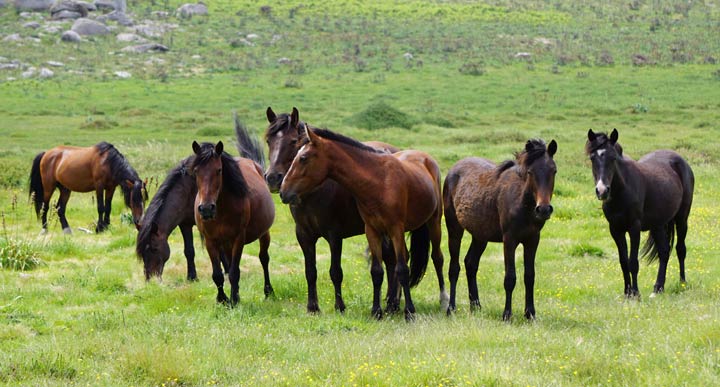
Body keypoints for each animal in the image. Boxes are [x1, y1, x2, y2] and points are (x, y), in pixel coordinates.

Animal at [191, 136, 276, 306]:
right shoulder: (211, 241)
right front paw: (223, 299)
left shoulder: (238, 238)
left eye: (219, 170)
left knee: (264, 259)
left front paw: (234, 300)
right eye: (196, 171)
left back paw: (268, 291)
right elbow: (218, 274)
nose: (206, 209)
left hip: (264, 234)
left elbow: (234, 272)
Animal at [264, 107, 448, 314]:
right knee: (393, 261)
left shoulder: (334, 235)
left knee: (429, 258)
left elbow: (335, 272)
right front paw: (313, 307)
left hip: (429, 223)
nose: (274, 179)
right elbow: (310, 271)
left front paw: (340, 306)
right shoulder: (304, 234)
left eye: (294, 142)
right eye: (268, 140)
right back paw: (391, 302)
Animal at [444, 139, 556, 322]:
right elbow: (510, 278)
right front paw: (507, 315)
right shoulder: (509, 240)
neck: (522, 202)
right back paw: (451, 309)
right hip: (454, 229)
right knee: (454, 268)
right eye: (530, 172)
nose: (544, 209)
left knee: (470, 263)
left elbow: (529, 276)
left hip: (480, 235)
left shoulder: (532, 240)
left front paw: (530, 314)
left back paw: (476, 306)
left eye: (553, 171)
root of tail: (453, 170)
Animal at [588, 129, 696, 298]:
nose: (602, 191)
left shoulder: (634, 228)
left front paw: (636, 294)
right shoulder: (615, 230)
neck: (623, 190)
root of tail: (681, 162)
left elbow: (633, 262)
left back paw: (682, 283)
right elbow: (623, 262)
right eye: (592, 158)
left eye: (613, 158)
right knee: (664, 252)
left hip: (682, 218)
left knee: (680, 249)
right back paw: (658, 288)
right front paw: (627, 293)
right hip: (658, 225)